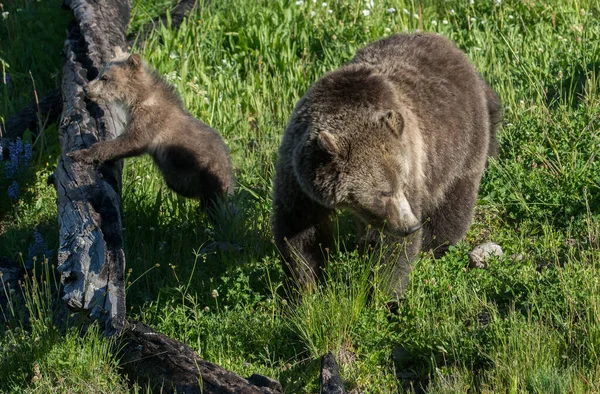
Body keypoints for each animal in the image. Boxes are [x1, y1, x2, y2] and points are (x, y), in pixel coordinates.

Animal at [272, 33, 502, 298]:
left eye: (401, 184)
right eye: (384, 192)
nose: (411, 226)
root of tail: (454, 49)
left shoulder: (412, 161)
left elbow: (390, 247)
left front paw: (384, 293)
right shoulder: (298, 178)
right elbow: (300, 233)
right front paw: (306, 286)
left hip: (460, 143)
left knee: (453, 200)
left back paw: (436, 246)